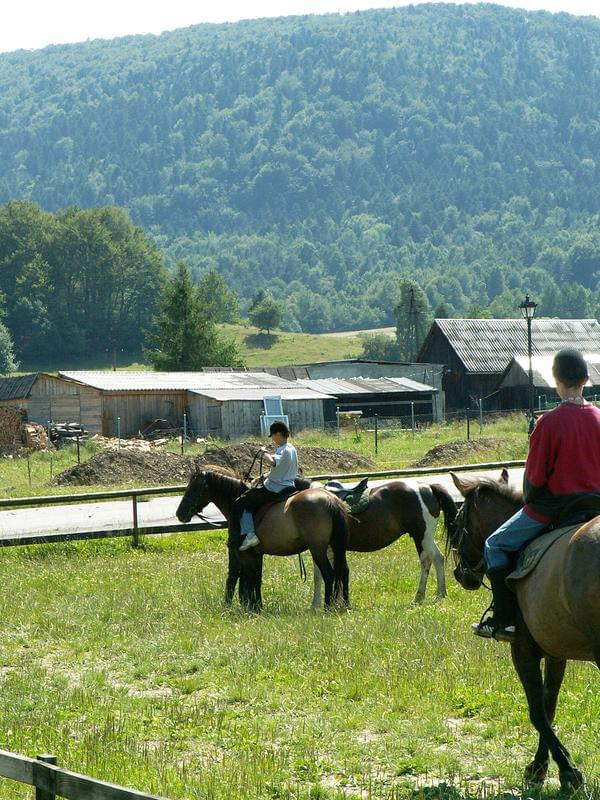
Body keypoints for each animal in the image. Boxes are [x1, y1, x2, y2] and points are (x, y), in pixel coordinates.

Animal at [176, 462, 350, 612]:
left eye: (194, 487)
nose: (180, 513)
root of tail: (331, 500)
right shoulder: (256, 554)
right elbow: (256, 578)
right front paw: (256, 606)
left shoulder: (240, 552)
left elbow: (238, 576)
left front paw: (238, 605)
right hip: (335, 547)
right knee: (342, 571)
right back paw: (343, 605)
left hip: (318, 549)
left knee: (329, 573)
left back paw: (327, 607)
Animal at [312, 482, 458, 608]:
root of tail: (428, 487)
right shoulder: (329, 549)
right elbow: (333, 572)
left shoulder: (321, 548)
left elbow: (321, 574)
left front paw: (317, 604)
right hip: (419, 538)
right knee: (426, 561)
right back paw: (419, 597)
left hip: (424, 537)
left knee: (438, 558)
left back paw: (440, 594)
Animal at [450, 472, 600, 792]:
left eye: (458, 521)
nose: (461, 575)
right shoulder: (555, 652)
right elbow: (549, 706)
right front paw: (541, 767)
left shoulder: (522, 650)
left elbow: (537, 711)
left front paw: (567, 771)